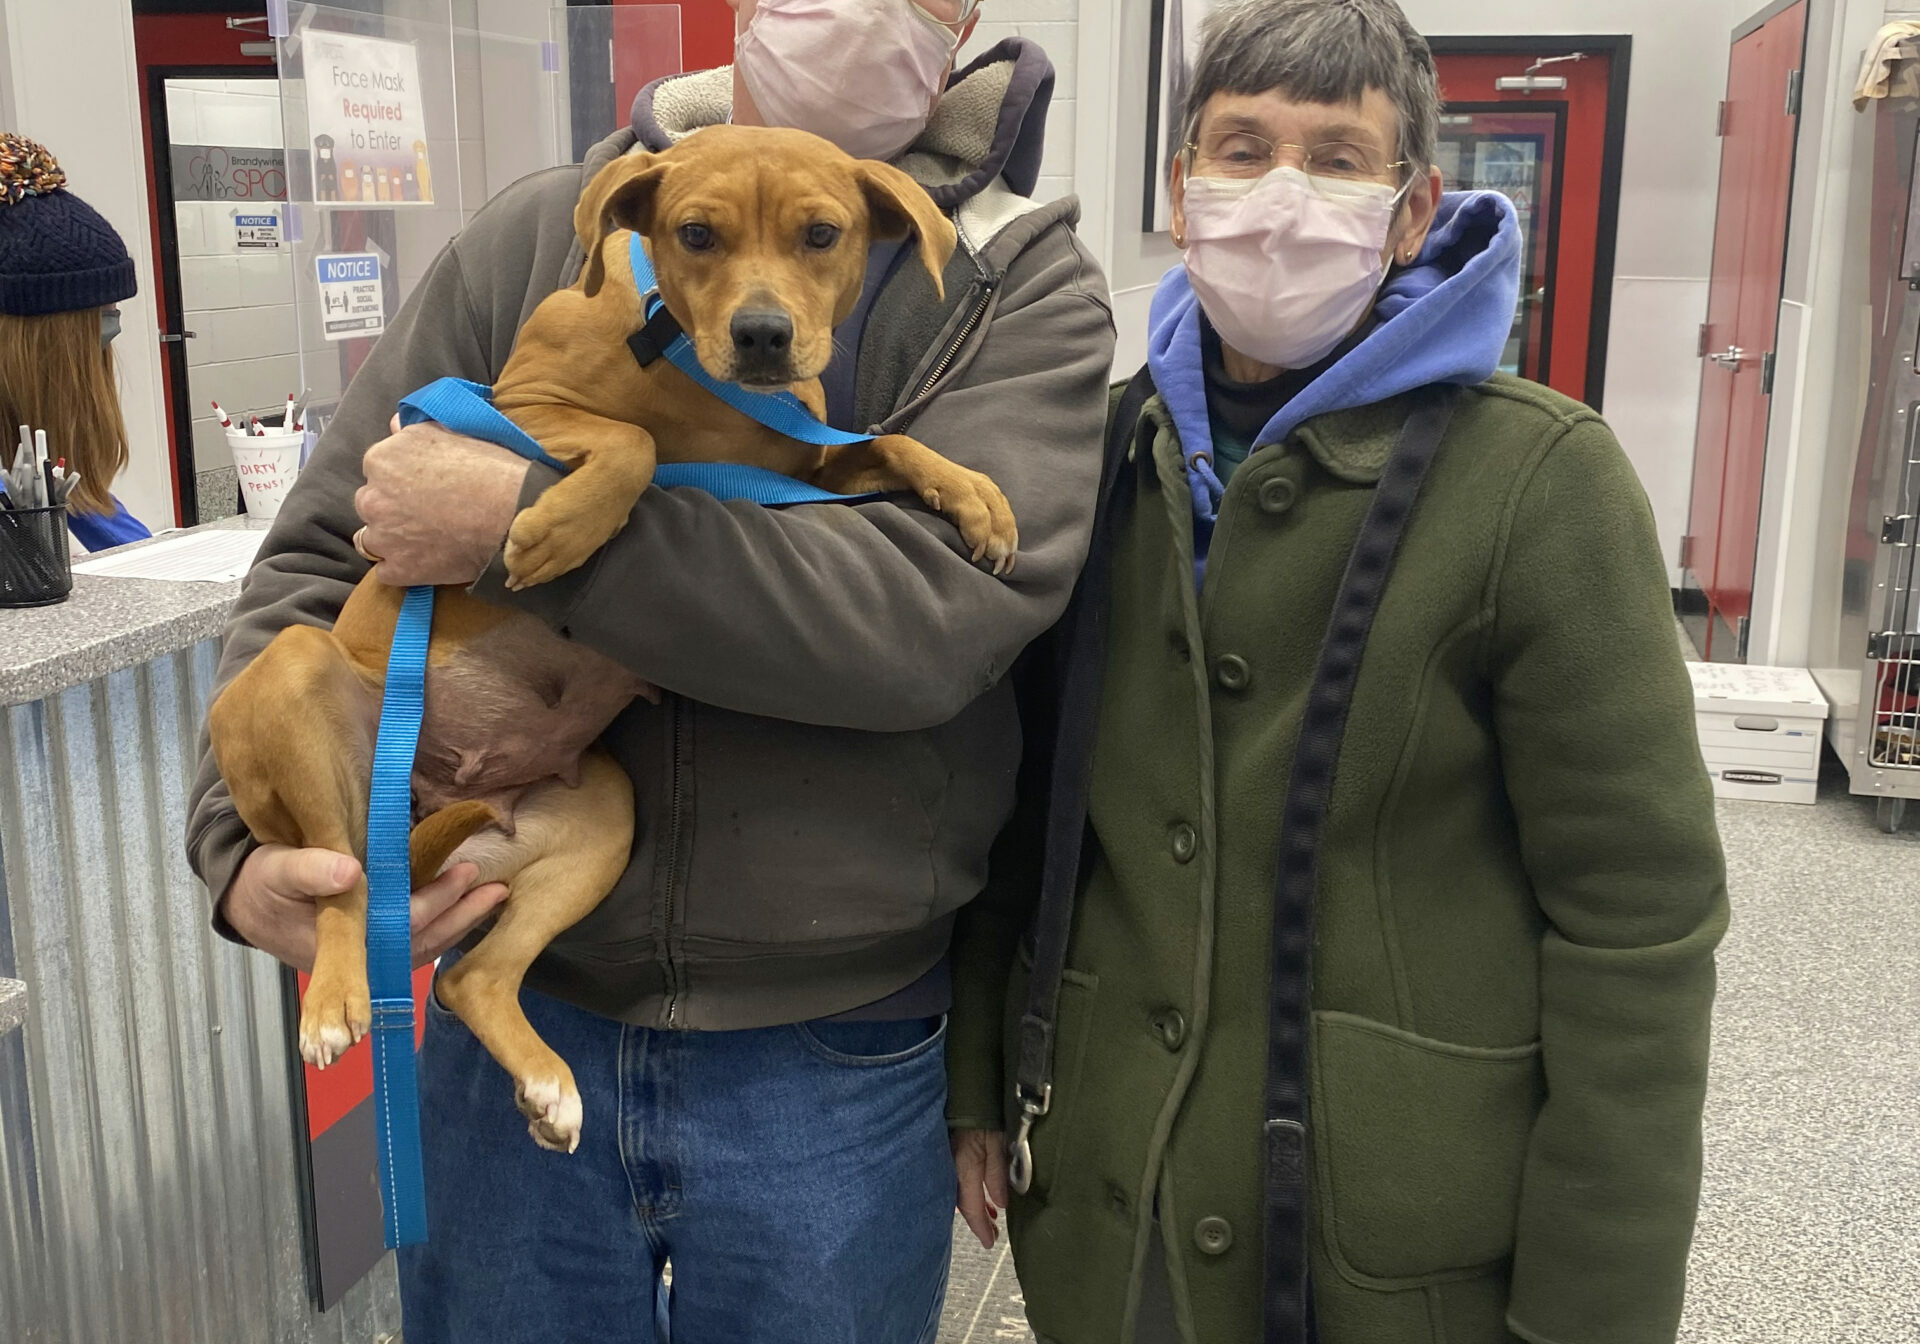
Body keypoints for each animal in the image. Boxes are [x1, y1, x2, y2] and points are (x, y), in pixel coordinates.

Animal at [206, 125, 1021, 1152]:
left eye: (823, 234)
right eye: (697, 233)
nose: (764, 335)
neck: (687, 370)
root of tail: (436, 794)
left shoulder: (809, 464)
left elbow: (892, 442)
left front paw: (976, 492)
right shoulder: (517, 412)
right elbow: (629, 446)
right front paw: (561, 527)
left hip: (601, 815)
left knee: (470, 973)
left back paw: (547, 1084)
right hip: (302, 681)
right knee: (343, 883)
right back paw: (335, 1003)